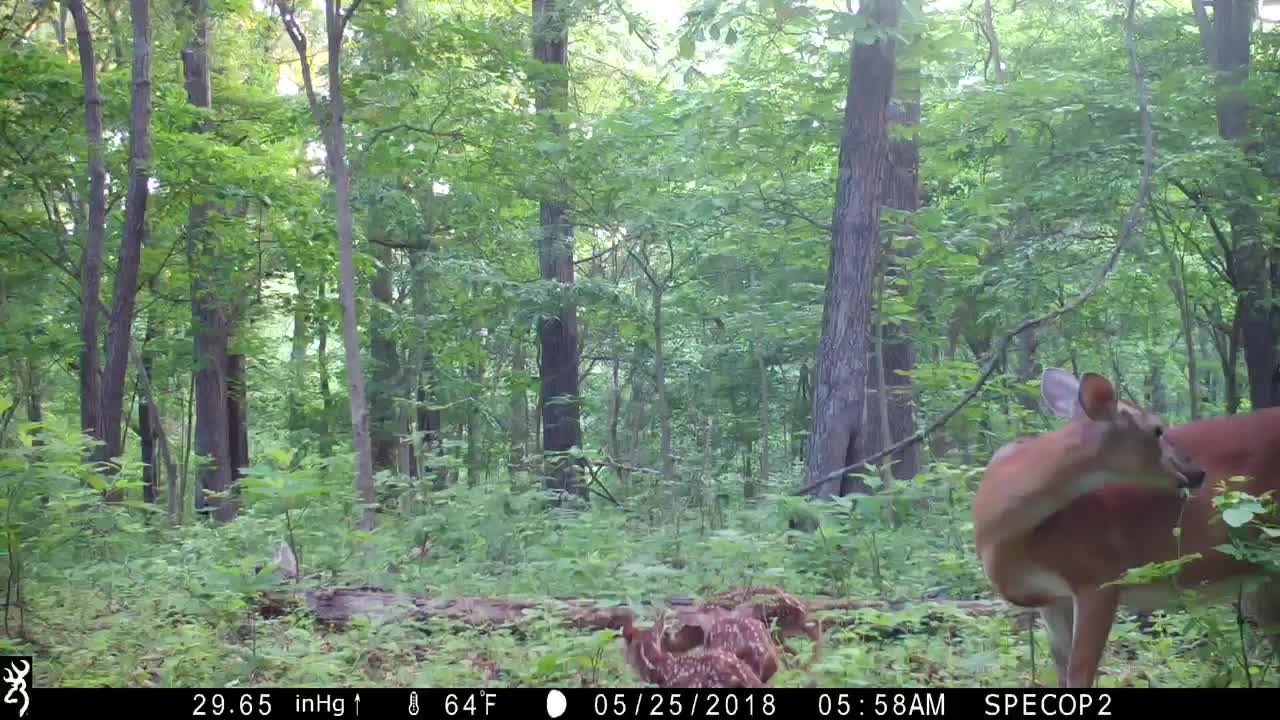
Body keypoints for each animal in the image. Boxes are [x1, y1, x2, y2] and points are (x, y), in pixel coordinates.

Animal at [972, 366, 1274, 686]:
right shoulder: (1051, 599)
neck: (1000, 537)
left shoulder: (1100, 575)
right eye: (1157, 430)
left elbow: (1080, 673)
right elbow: (1063, 672)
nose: (1198, 472)